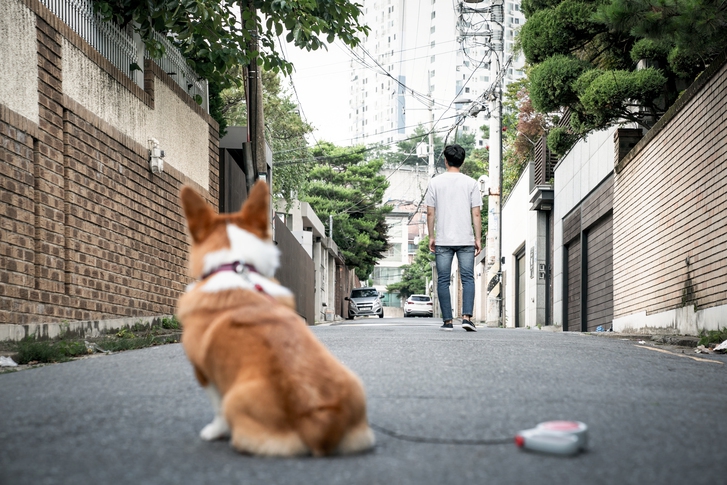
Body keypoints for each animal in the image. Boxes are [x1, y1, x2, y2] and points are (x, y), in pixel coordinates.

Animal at [176, 180, 376, 456]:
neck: (236, 267)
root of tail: (320, 420)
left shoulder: (204, 371)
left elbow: (216, 406)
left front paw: (213, 432)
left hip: (237, 400)